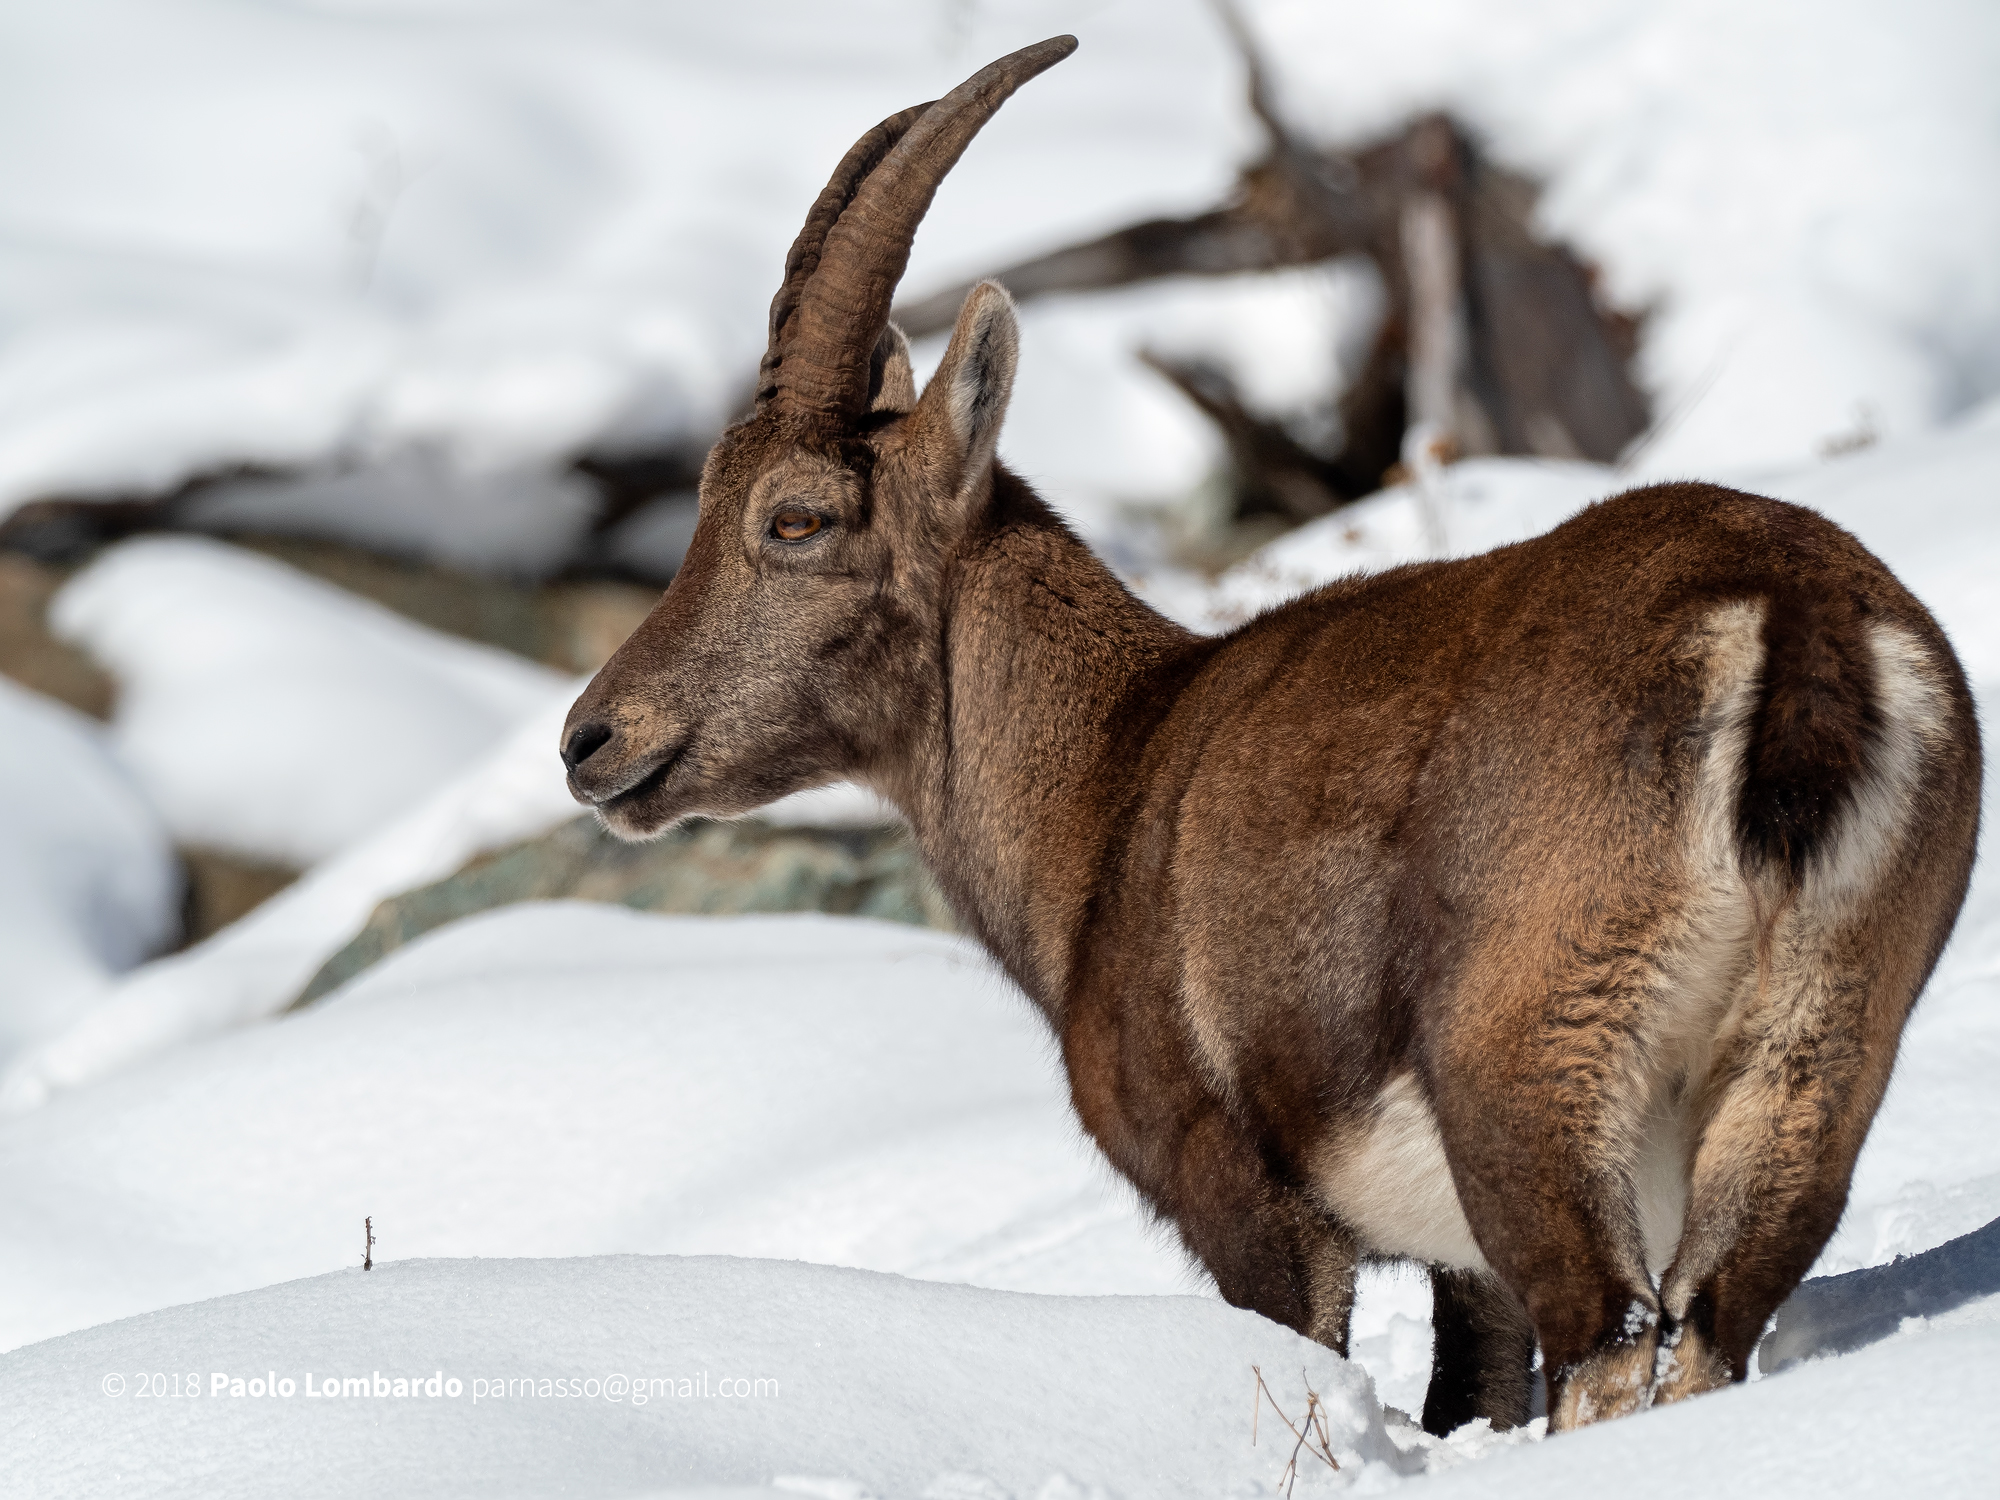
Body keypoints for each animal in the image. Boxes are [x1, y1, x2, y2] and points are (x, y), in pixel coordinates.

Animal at [561, 37, 1981, 1432]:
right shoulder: (1458, 1266)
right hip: (1815, 1042)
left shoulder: (1243, 1192)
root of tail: (1791, 628)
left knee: (1610, 1337)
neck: (1106, 779)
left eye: (795, 518)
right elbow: (1467, 1393)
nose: (589, 739)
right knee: (1707, 1318)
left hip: (1536, 1051)